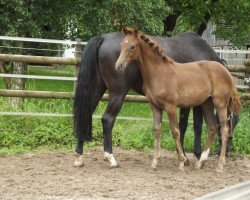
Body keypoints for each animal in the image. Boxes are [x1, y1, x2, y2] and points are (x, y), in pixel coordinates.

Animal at [73, 31, 228, 168]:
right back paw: (111, 158)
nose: (227, 151)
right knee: (107, 120)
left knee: (84, 115)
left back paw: (79, 156)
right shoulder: (193, 102)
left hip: (96, 88)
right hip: (118, 93)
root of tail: (103, 38)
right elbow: (190, 126)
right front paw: (190, 156)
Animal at [116, 26, 241, 172]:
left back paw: (220, 165)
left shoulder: (171, 106)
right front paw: (154, 162)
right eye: (121, 45)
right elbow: (157, 130)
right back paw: (201, 162)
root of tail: (227, 72)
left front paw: (182, 161)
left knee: (224, 130)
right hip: (207, 104)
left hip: (220, 104)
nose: (118, 66)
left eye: (132, 46)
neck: (159, 72)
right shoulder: (155, 107)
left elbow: (176, 131)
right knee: (212, 128)